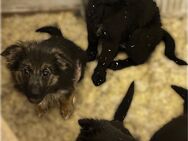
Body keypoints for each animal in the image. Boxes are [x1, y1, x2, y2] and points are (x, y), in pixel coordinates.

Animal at [1, 0, 188, 140]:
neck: (105, 6)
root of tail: (161, 30)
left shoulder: (112, 38)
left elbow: (104, 58)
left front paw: (98, 75)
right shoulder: (90, 26)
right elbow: (92, 43)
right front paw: (89, 55)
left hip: (137, 39)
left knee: (139, 60)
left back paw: (117, 64)